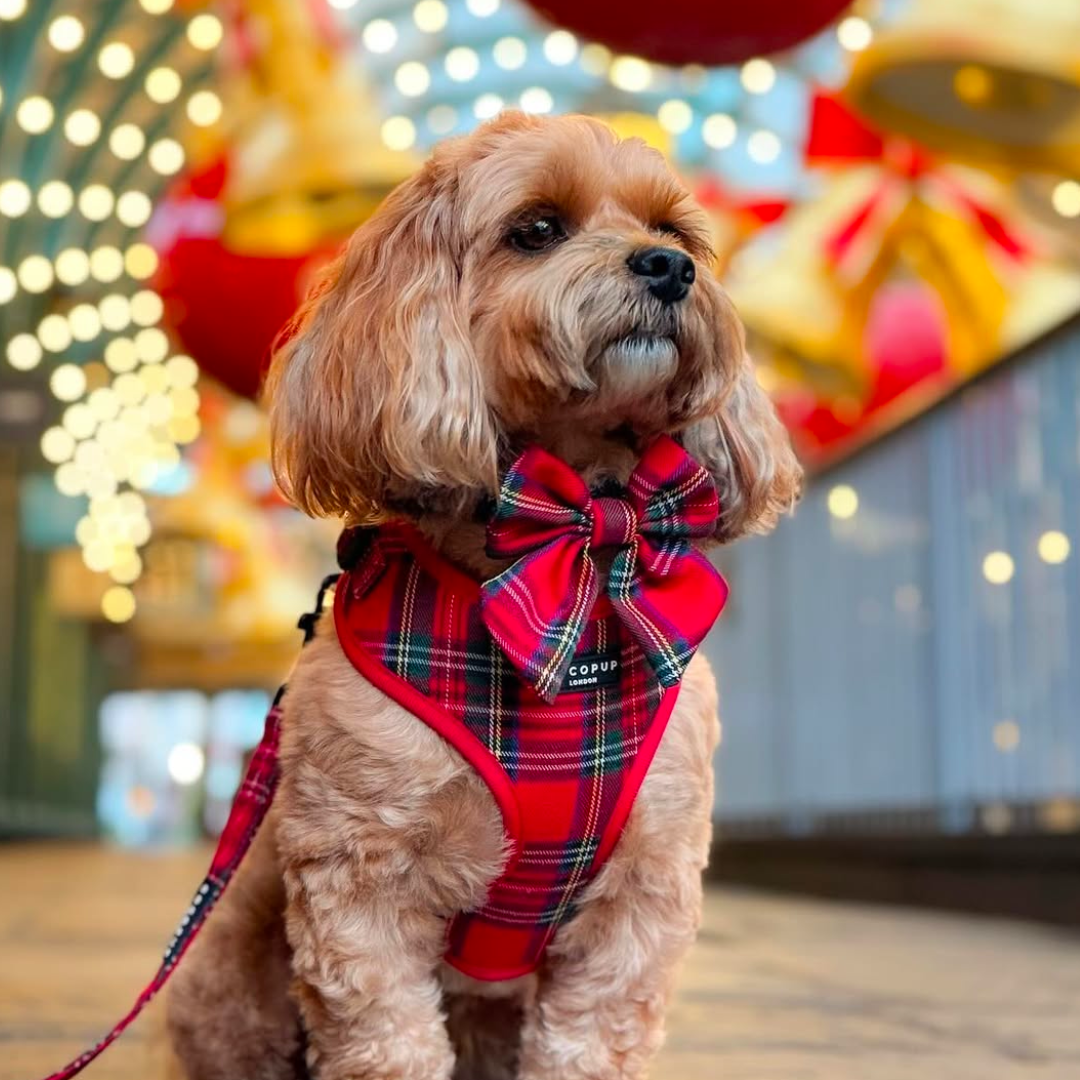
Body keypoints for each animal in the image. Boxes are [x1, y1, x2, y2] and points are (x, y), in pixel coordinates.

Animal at [164, 111, 799, 1080]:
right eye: (536, 228)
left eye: (675, 232)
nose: (668, 268)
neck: (571, 552)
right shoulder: (360, 883)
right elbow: (389, 1042)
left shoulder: (640, 897)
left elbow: (587, 1046)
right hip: (230, 984)